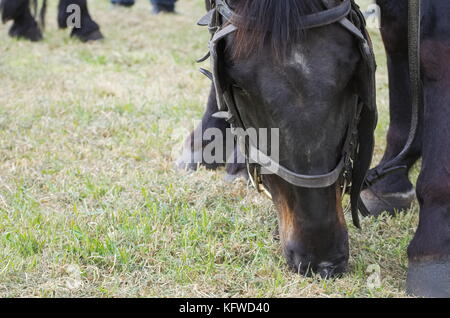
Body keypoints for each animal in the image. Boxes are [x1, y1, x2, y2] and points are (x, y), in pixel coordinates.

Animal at [181, 0, 450, 298]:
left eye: (353, 72)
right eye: (238, 85)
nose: (322, 260)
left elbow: (432, 48)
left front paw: (435, 244)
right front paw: (207, 143)